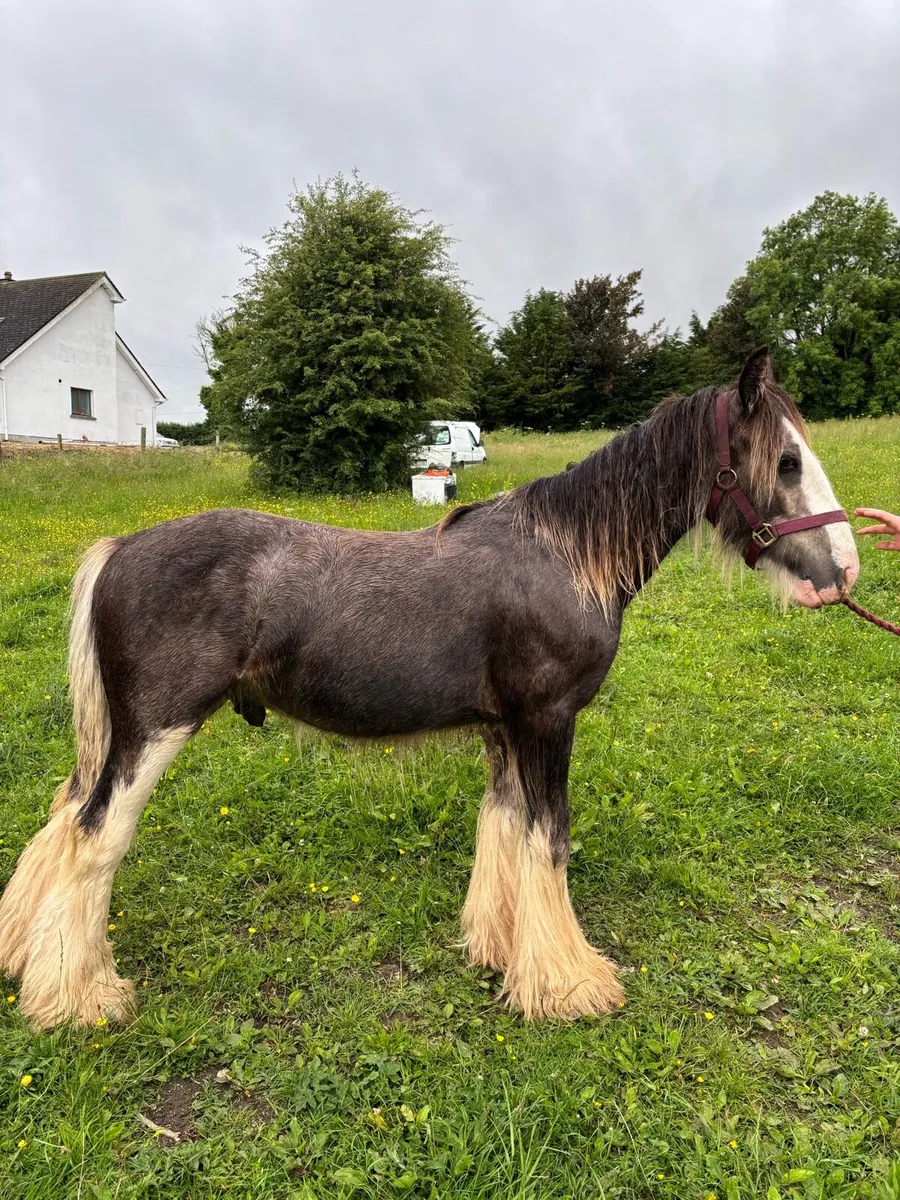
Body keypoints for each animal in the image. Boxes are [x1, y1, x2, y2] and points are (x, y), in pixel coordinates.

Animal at [0, 347, 859, 1032]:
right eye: (786, 462)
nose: (844, 570)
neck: (566, 555)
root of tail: (119, 549)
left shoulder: (504, 728)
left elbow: (505, 829)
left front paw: (503, 951)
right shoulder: (547, 721)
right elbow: (549, 840)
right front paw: (570, 984)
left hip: (113, 737)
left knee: (61, 817)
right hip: (154, 731)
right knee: (93, 838)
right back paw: (81, 998)